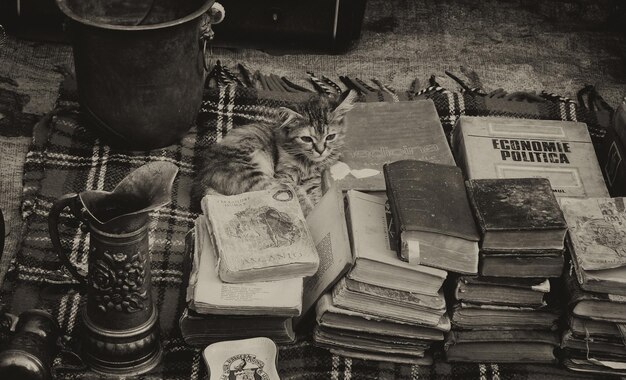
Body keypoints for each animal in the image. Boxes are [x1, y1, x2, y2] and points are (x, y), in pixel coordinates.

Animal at [193, 89, 354, 214]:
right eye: (306, 139)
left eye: (330, 137)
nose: (320, 151)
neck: (308, 163)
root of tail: (202, 180)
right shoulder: (284, 175)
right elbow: (298, 193)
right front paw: (311, 212)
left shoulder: (314, 179)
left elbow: (317, 194)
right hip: (252, 173)